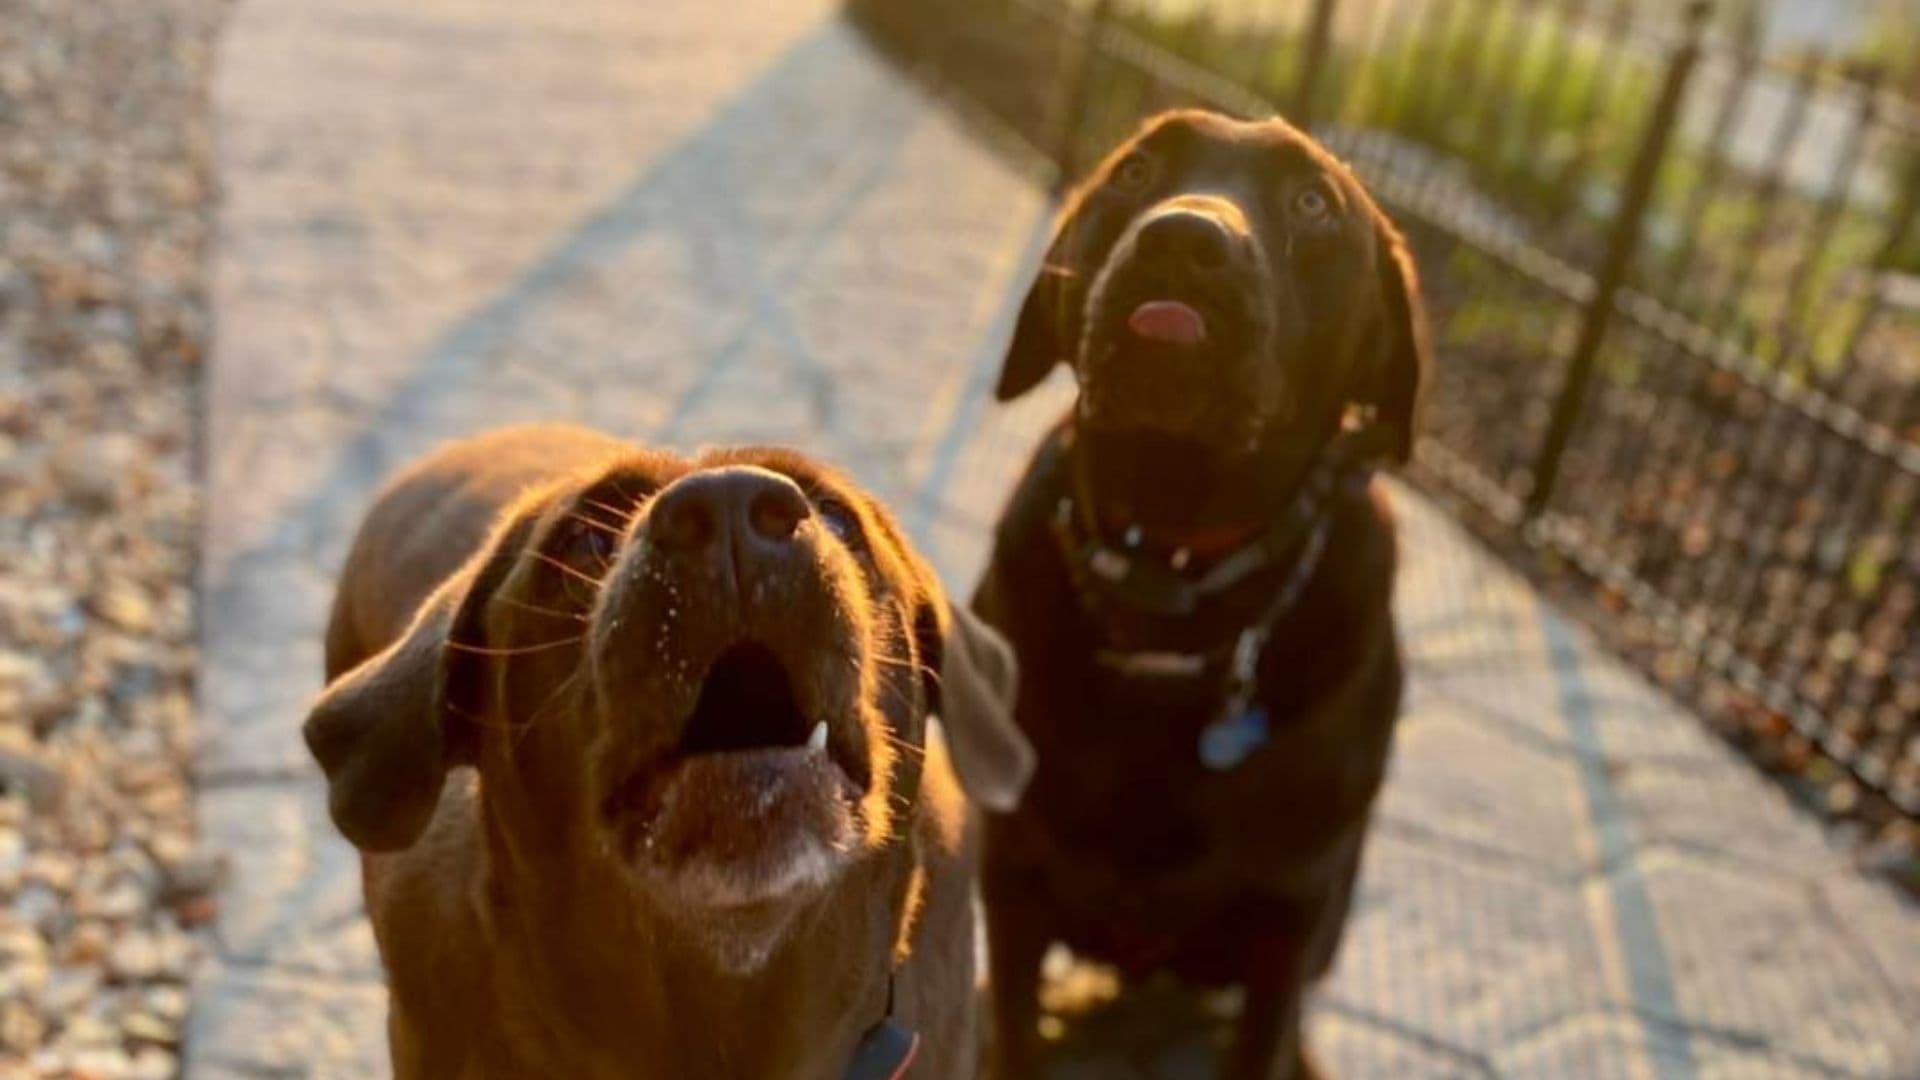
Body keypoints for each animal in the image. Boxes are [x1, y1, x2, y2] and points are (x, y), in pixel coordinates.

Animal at [975, 111, 1428, 1076]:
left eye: (1314, 203)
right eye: (1135, 170)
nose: (1184, 240)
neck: (1171, 586)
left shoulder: (1289, 917)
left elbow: (1262, 1038)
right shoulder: (1013, 874)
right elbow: (1014, 1033)